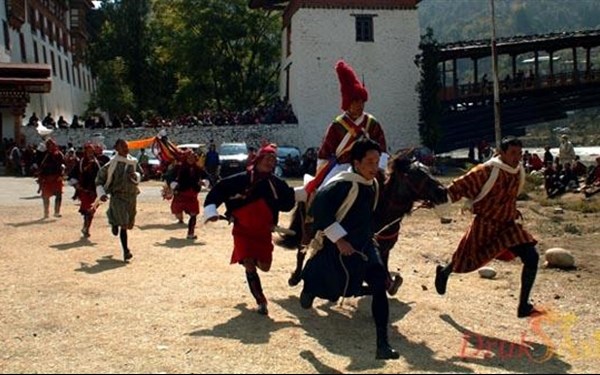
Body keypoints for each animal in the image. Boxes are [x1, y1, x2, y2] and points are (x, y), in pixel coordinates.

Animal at [284, 151, 448, 292]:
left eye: (429, 170)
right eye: (413, 174)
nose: (442, 192)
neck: (383, 210)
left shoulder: (384, 248)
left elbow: (383, 270)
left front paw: (389, 283)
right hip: (309, 228)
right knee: (302, 250)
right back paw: (296, 278)